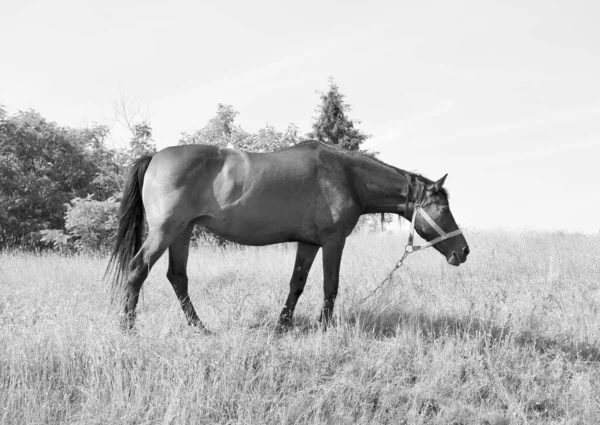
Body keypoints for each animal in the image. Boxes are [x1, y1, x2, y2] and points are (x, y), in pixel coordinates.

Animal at [105, 141, 472, 330]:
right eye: (442, 208)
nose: (464, 251)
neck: (347, 176)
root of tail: (155, 156)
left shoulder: (308, 243)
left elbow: (297, 282)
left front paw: (283, 324)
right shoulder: (333, 241)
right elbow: (330, 285)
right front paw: (325, 326)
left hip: (183, 231)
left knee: (177, 277)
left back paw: (199, 327)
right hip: (166, 231)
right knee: (138, 270)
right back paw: (128, 328)